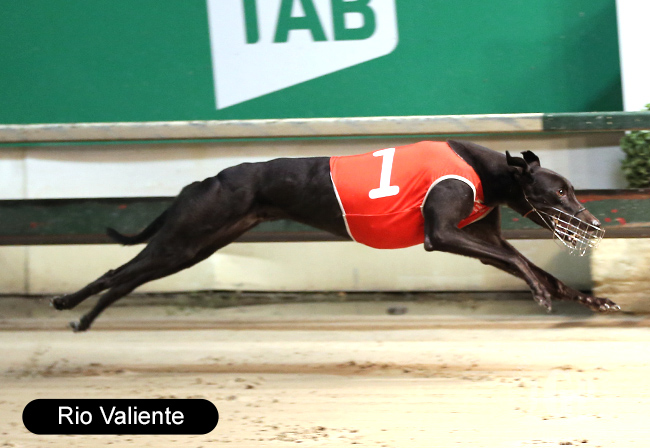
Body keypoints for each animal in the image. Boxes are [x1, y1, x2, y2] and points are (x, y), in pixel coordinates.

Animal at [51, 139, 619, 331]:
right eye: (561, 191)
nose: (595, 224)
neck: (486, 168)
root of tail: (201, 181)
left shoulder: (484, 242)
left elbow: (530, 263)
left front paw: (593, 300)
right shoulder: (442, 234)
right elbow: (526, 266)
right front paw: (542, 292)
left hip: (194, 246)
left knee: (127, 279)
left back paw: (84, 319)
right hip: (186, 236)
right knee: (115, 271)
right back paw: (65, 302)